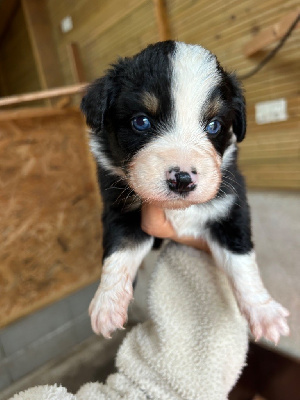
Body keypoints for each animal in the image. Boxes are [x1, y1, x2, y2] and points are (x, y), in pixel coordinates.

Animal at [81, 42, 290, 346]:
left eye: (214, 125)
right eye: (141, 121)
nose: (181, 180)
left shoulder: (230, 208)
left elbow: (242, 261)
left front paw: (264, 312)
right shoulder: (120, 209)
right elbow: (119, 253)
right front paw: (107, 304)